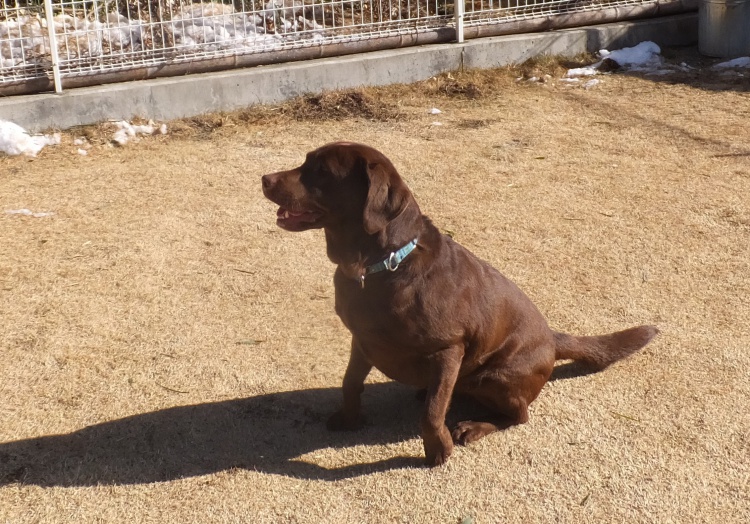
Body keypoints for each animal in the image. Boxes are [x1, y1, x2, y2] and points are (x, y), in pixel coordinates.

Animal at [261, 142, 658, 467]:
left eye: (321, 171)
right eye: (305, 162)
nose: (264, 178)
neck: (383, 264)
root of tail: (552, 337)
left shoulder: (448, 349)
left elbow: (433, 413)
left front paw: (438, 449)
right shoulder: (362, 339)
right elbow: (349, 383)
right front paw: (348, 419)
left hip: (498, 376)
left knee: (518, 416)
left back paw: (473, 426)